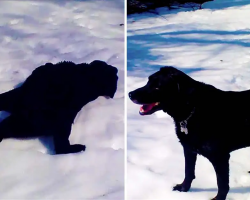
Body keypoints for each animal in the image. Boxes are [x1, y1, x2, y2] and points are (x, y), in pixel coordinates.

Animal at [128, 67, 250, 200]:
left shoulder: (220, 157)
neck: (193, 109)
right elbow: (188, 172)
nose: (130, 94)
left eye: (157, 87)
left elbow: (222, 184)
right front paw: (183, 189)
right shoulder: (188, 148)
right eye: (148, 81)